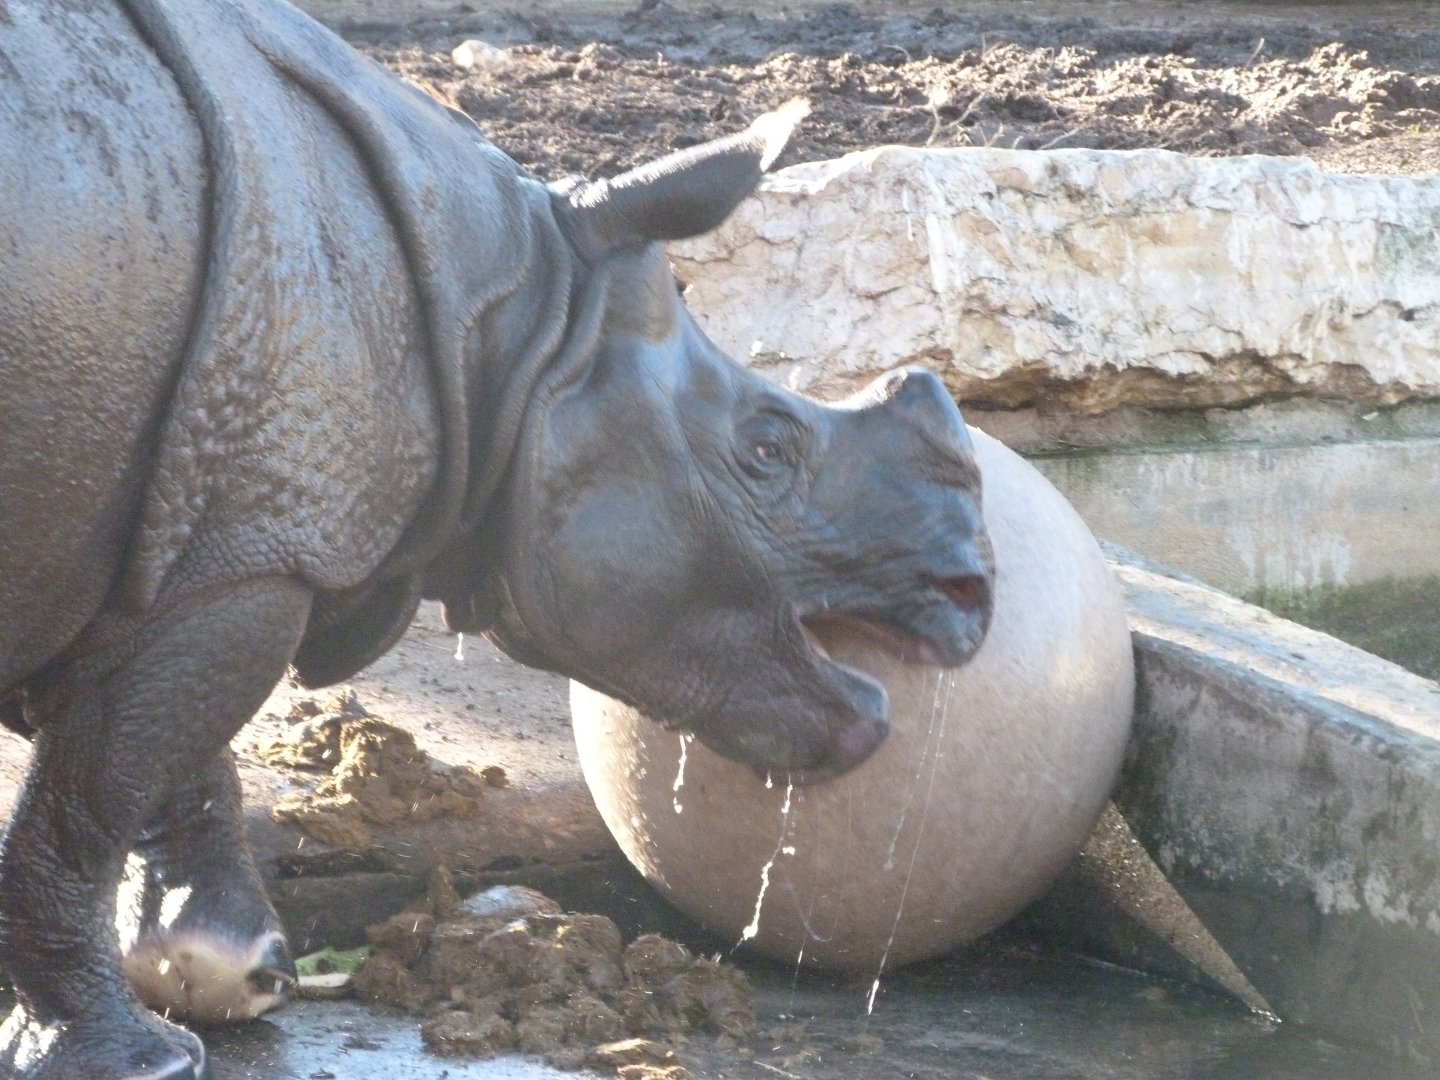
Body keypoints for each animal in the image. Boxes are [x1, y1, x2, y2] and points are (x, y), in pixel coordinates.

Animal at [0, 0, 994, 1076]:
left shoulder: (201, 529)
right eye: (767, 449)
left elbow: (153, 757)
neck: (516, 326)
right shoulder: (247, 540)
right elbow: (95, 795)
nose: (973, 587)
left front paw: (224, 970)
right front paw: (133, 1054)